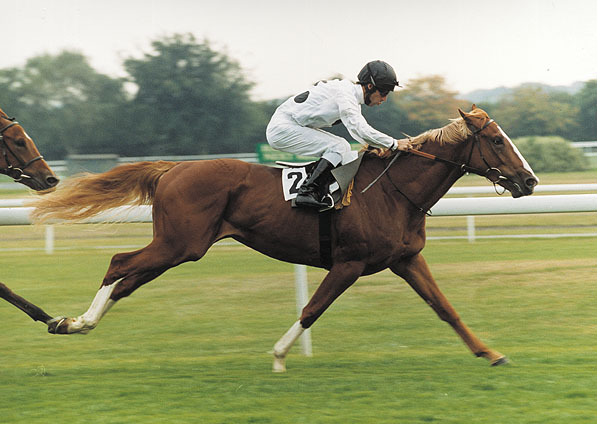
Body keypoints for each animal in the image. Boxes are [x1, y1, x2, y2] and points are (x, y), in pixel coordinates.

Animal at [30, 106, 536, 372]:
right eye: (496, 140)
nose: (529, 181)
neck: (392, 191)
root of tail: (173, 168)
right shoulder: (349, 263)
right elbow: (312, 309)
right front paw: (278, 356)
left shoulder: (406, 260)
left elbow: (445, 307)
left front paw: (490, 353)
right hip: (179, 244)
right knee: (119, 263)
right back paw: (75, 321)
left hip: (180, 248)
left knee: (129, 280)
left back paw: (78, 323)